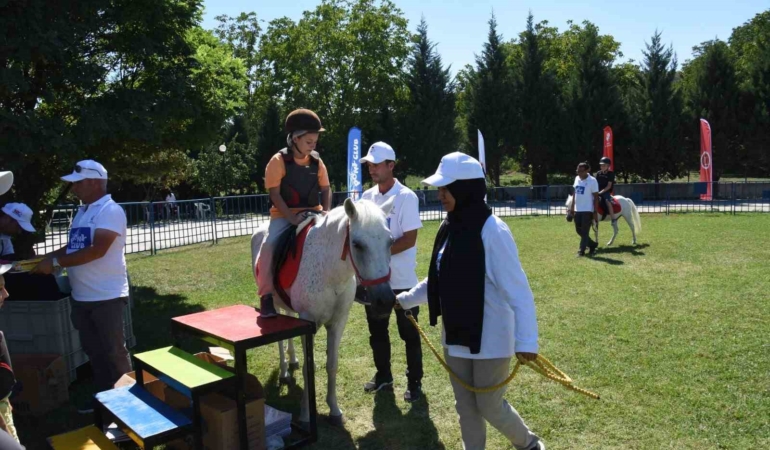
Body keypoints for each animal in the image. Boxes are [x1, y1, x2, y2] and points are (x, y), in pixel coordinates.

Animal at [250, 197, 396, 427]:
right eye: (357, 244)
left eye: (390, 242)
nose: (384, 301)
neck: (331, 273)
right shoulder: (308, 322)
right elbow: (308, 369)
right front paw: (305, 415)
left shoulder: (338, 322)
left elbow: (332, 365)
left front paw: (334, 409)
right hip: (273, 301)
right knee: (280, 339)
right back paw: (284, 369)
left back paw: (292, 359)